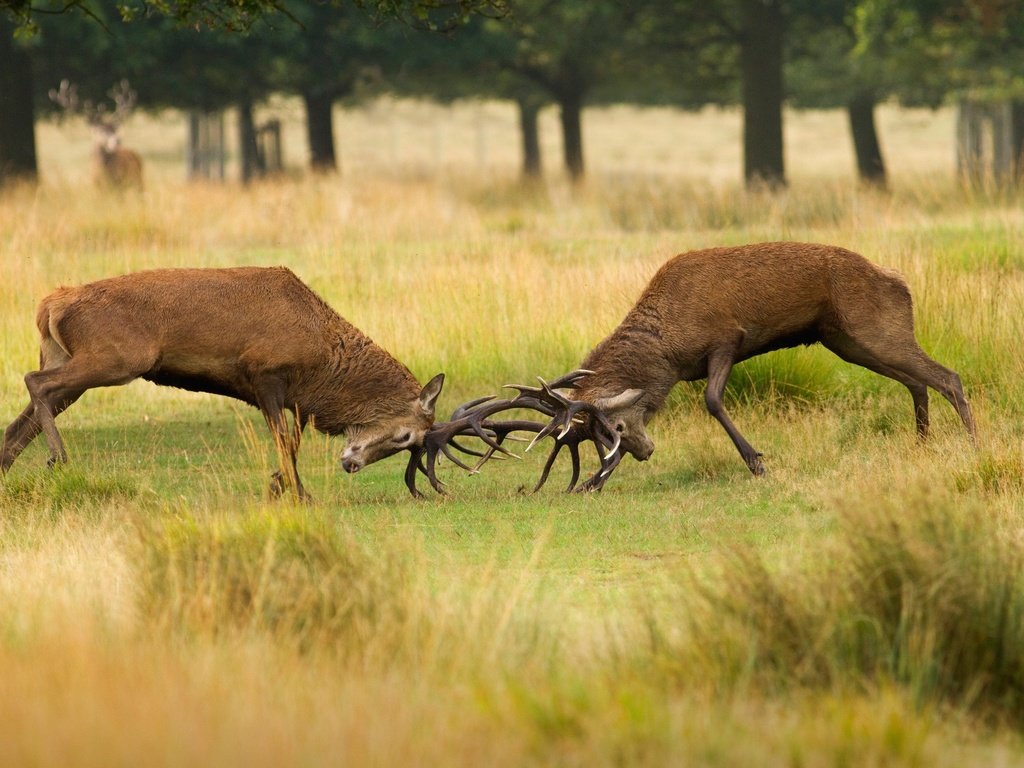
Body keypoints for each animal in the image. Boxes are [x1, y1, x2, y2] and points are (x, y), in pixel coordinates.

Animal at [0, 268, 569, 501]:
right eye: (408, 436)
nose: (351, 463)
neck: (320, 366)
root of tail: (49, 304)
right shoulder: (266, 373)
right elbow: (285, 440)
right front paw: (296, 491)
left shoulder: (280, 394)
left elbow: (288, 439)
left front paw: (279, 485)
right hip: (117, 356)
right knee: (34, 381)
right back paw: (58, 458)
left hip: (71, 354)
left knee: (25, 412)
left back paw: (11, 468)